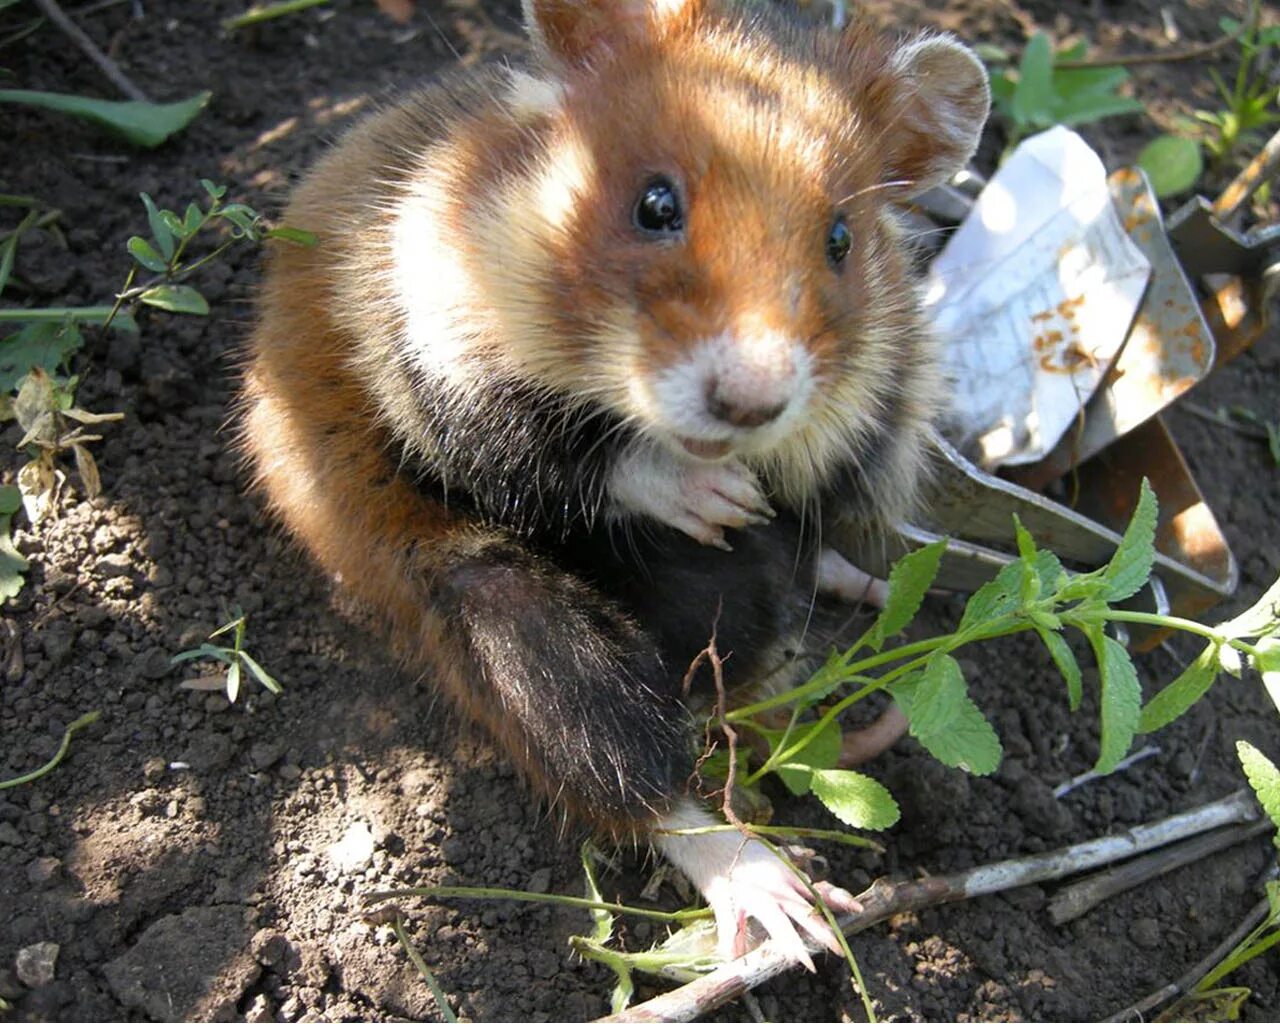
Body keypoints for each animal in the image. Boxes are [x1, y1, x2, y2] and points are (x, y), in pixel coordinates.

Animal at [244, 0, 993, 967]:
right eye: (654, 204)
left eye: (841, 240)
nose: (749, 402)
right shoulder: (434, 353)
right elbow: (559, 455)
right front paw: (715, 502)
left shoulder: (884, 396)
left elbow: (811, 478)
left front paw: (755, 493)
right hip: (509, 625)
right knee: (636, 777)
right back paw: (788, 909)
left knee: (810, 564)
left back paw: (863, 584)